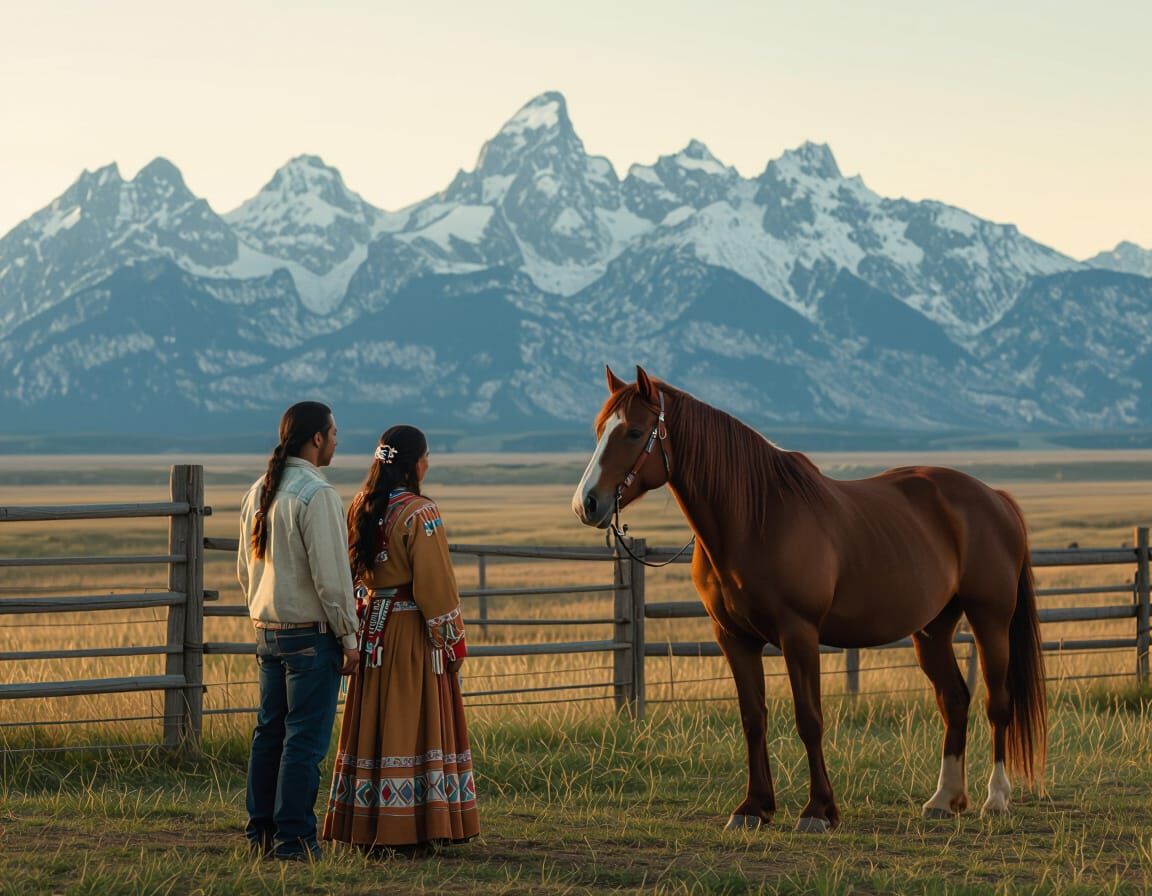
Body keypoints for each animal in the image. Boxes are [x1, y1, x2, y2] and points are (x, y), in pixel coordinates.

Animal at [571, 365, 1046, 832]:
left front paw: (818, 810)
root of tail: (996, 498)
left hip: (990, 620)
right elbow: (753, 719)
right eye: (598, 430)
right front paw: (754, 807)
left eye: (634, 432)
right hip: (932, 630)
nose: (586, 504)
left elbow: (809, 719)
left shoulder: (798, 634)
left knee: (997, 704)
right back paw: (944, 799)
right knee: (954, 700)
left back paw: (995, 799)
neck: (755, 518)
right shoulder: (733, 638)